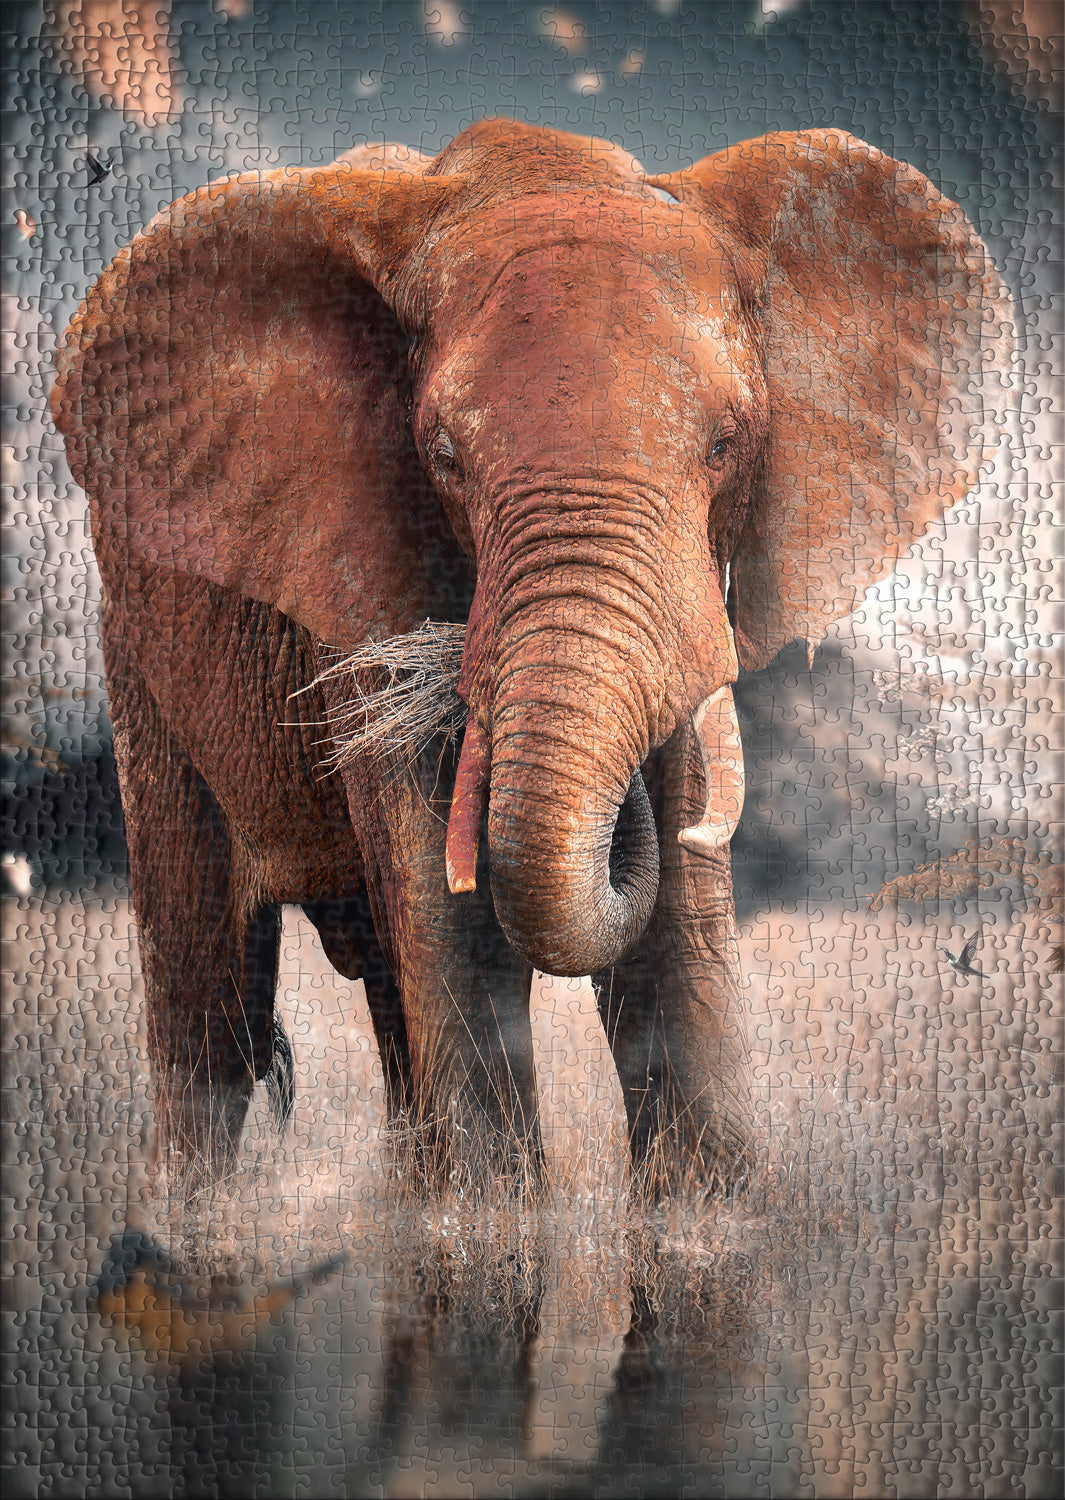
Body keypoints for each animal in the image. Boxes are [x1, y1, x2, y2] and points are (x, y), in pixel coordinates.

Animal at [51, 119, 1011, 1193]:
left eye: (728, 444)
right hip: (136, 649)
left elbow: (674, 930)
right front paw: (488, 1218)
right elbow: (452, 919)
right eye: (441, 457)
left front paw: (703, 1212)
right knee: (210, 997)